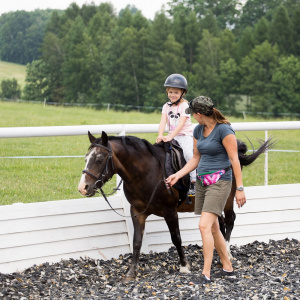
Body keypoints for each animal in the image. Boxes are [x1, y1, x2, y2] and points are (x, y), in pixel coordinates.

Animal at [78, 131, 274, 282]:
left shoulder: (170, 211)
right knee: (220, 224)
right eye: (86, 158)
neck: (145, 172)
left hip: (226, 198)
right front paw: (131, 272)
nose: (83, 187)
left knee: (231, 220)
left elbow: (176, 238)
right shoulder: (137, 212)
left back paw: (226, 253)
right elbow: (137, 241)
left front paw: (184, 266)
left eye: (99, 159)